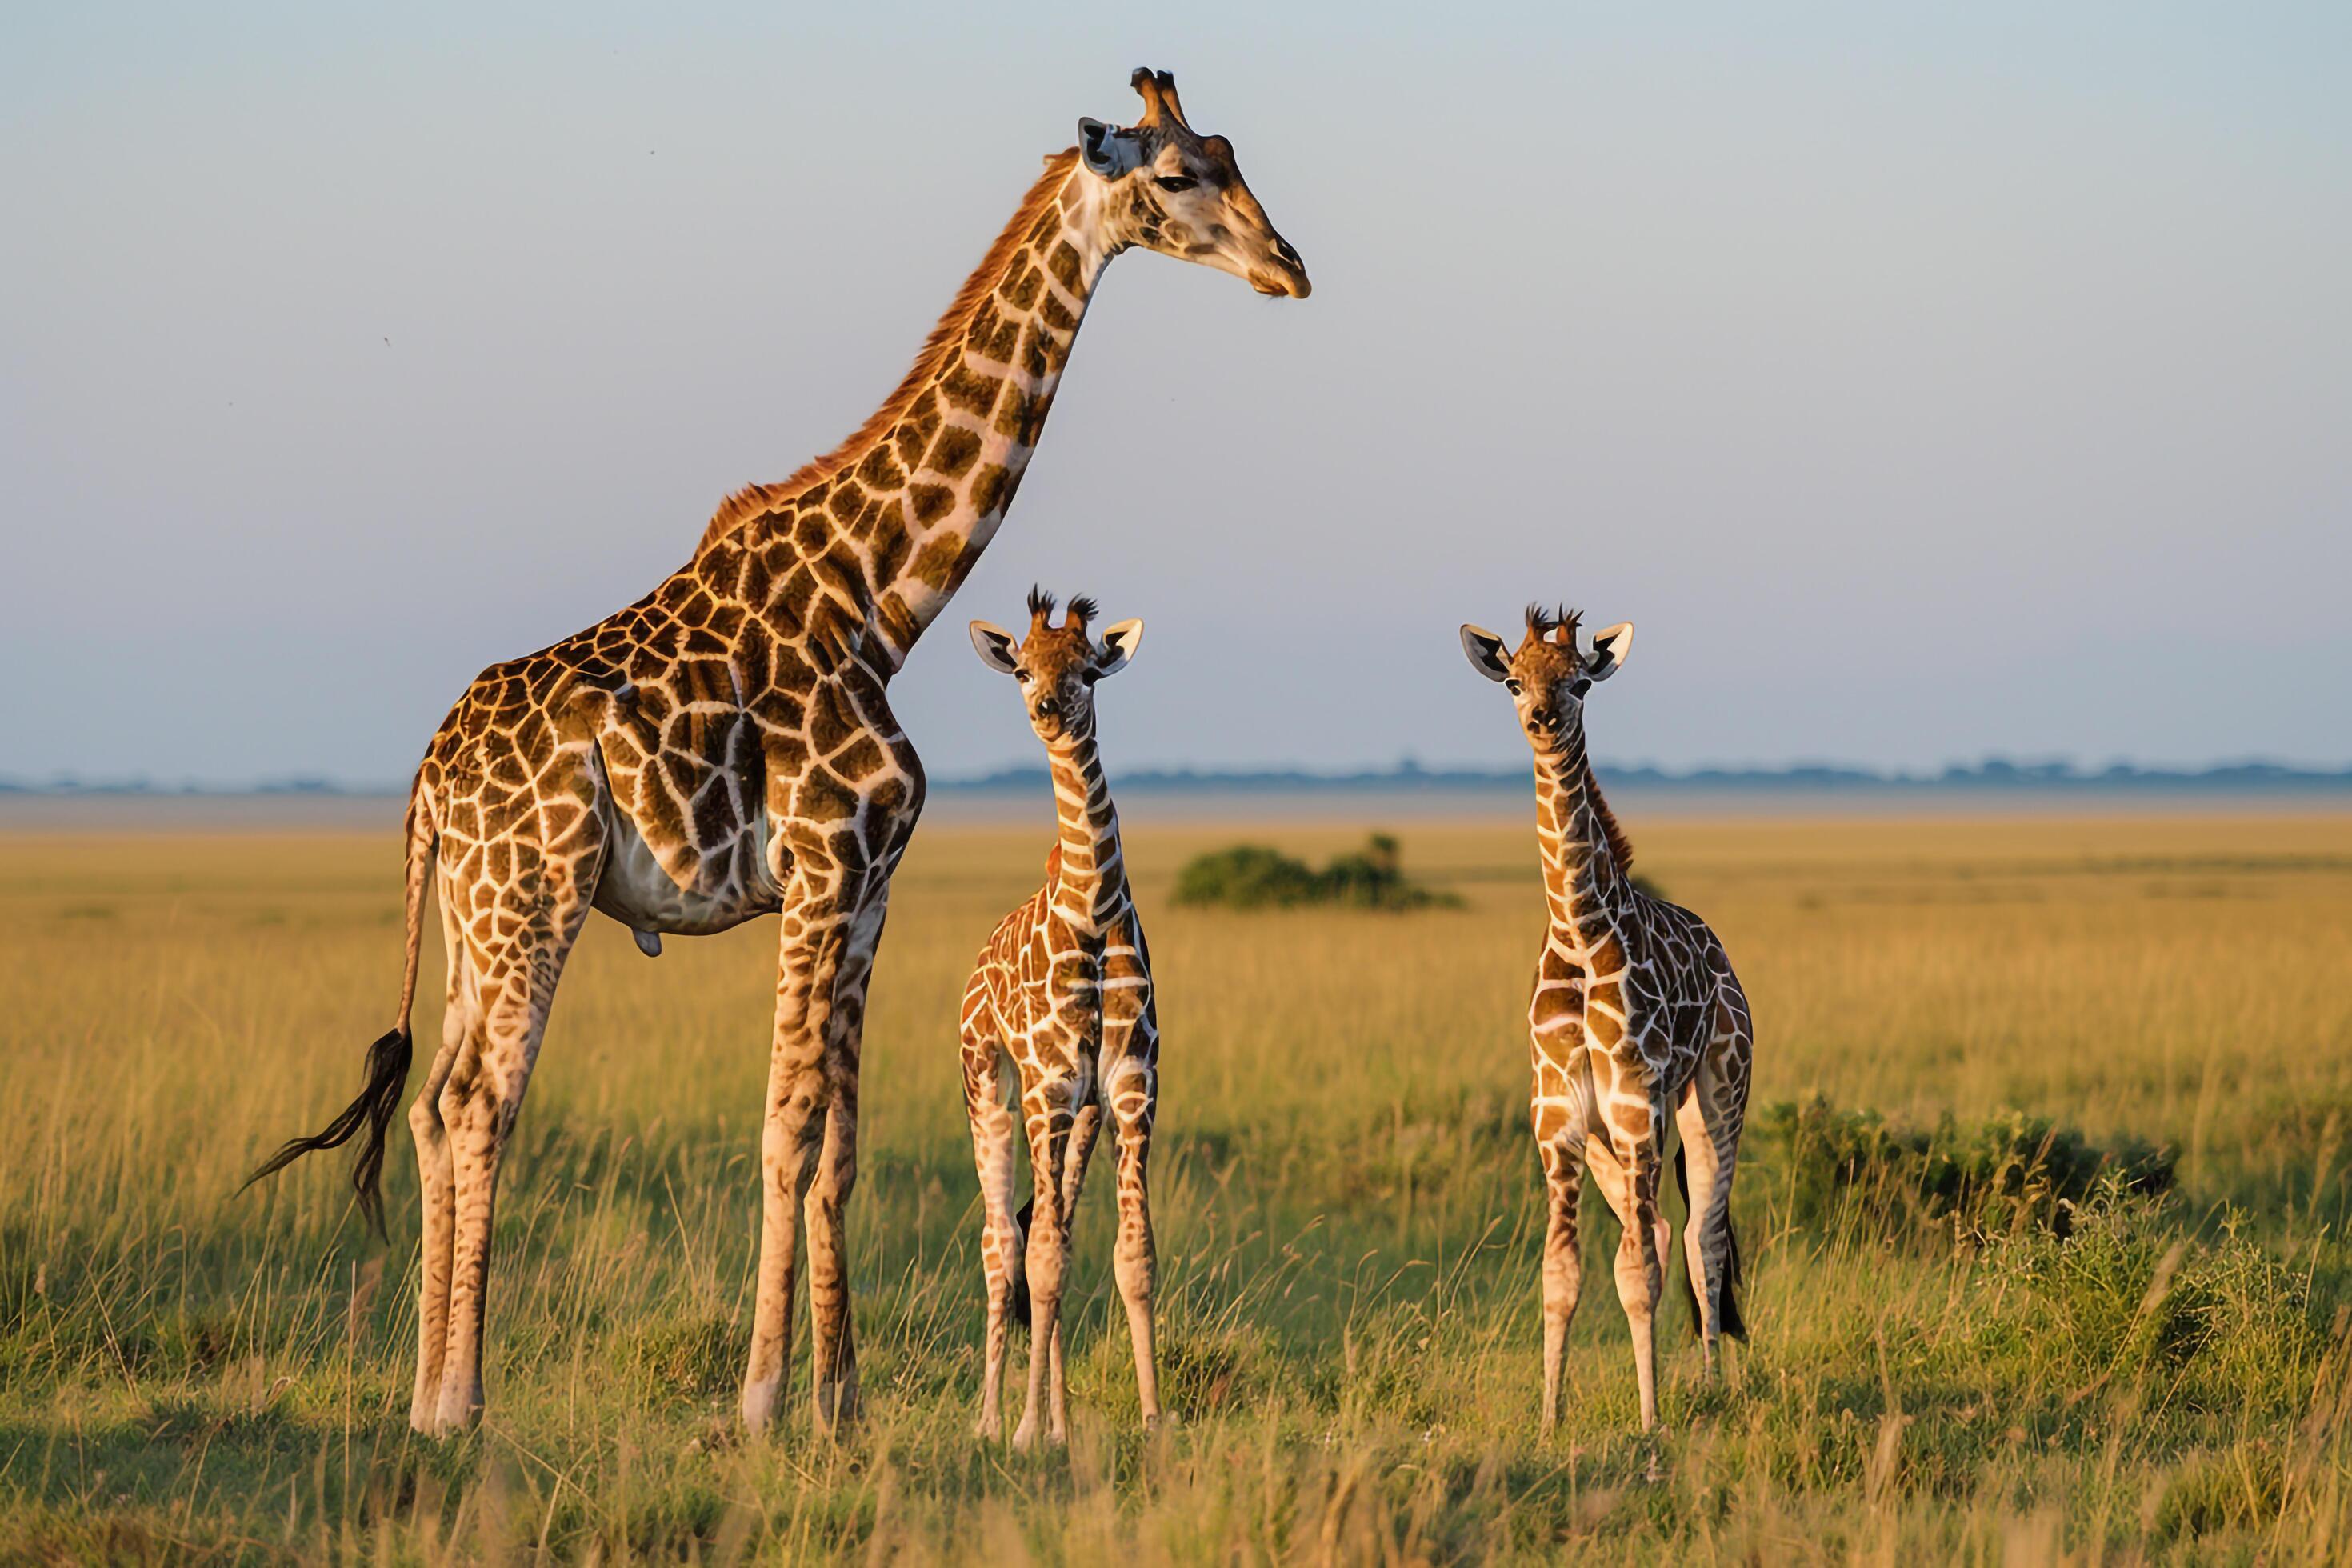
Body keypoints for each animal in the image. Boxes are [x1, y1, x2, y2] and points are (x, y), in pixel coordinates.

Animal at [248, 76, 1317, 1448]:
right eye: (1179, 175)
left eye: (1230, 153)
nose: (1289, 266)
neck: (878, 598)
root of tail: (430, 781)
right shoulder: (818, 871)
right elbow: (785, 1130)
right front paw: (760, 1399)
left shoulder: (867, 895)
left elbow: (841, 1145)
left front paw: (840, 1401)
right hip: (536, 899)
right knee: (482, 1103)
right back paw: (464, 1400)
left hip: (470, 917)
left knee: (433, 1104)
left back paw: (429, 1398)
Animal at [1458, 606, 1759, 1438]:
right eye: (1515, 681)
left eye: (1581, 683)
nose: (1541, 720)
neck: (1580, 932)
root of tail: (1723, 957)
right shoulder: (1559, 1118)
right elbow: (1562, 1273)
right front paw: (1549, 1420)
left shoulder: (1633, 1104)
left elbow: (1640, 1272)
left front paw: (1652, 1424)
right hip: (1608, 1144)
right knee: (1655, 1231)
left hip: (1713, 1100)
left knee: (1699, 1238)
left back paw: (1708, 1387)